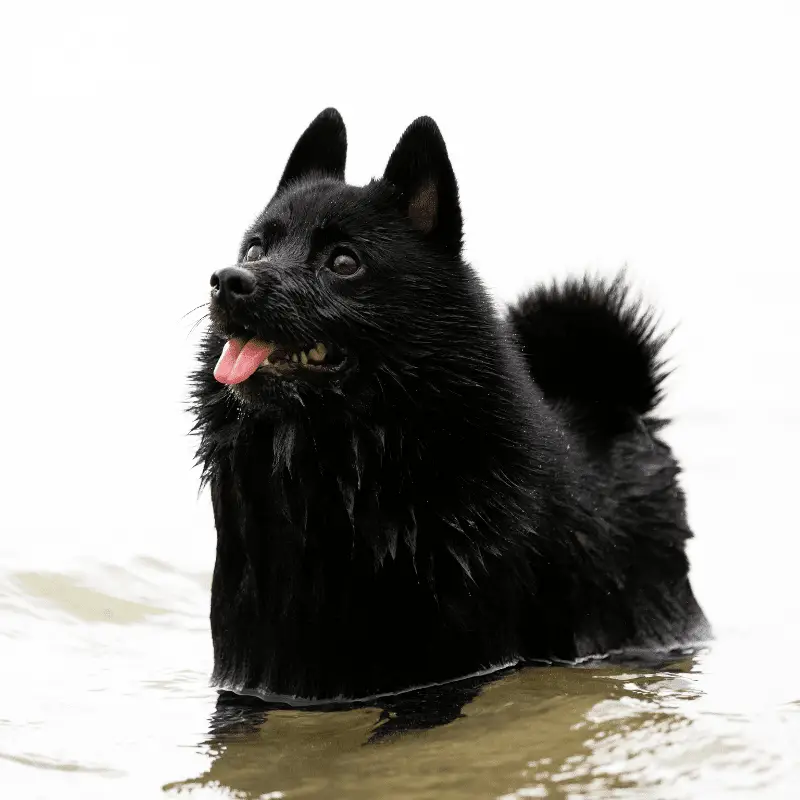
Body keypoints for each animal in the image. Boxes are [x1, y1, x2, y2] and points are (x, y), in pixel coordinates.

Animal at [191, 109, 708, 704]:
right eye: (255, 249)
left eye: (343, 262)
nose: (229, 281)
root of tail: (608, 396)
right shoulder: (250, 670)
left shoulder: (450, 667)